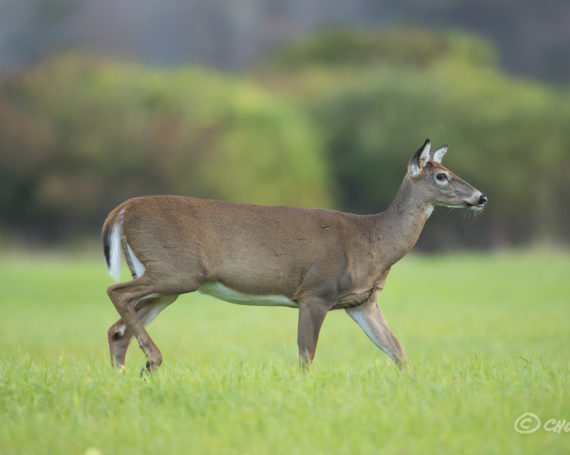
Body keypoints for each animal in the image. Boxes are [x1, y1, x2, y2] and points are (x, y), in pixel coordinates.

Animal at [101, 140, 484, 374]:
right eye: (441, 176)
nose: (481, 197)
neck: (372, 241)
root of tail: (121, 211)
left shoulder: (363, 302)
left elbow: (399, 354)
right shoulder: (315, 292)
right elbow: (306, 358)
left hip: (166, 282)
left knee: (118, 329)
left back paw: (130, 375)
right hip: (175, 271)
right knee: (115, 293)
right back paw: (152, 359)